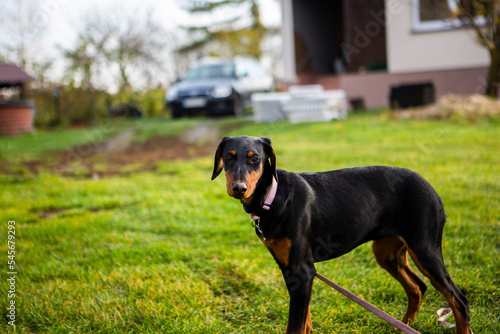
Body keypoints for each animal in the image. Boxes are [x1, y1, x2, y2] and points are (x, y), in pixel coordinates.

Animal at [212, 136, 472, 334]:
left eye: (255, 159)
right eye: (228, 157)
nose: (239, 188)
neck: (272, 197)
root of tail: (432, 189)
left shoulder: (301, 270)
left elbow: (295, 325)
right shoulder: (294, 270)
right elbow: (305, 320)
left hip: (425, 248)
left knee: (459, 299)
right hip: (387, 252)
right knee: (417, 287)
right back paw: (402, 326)